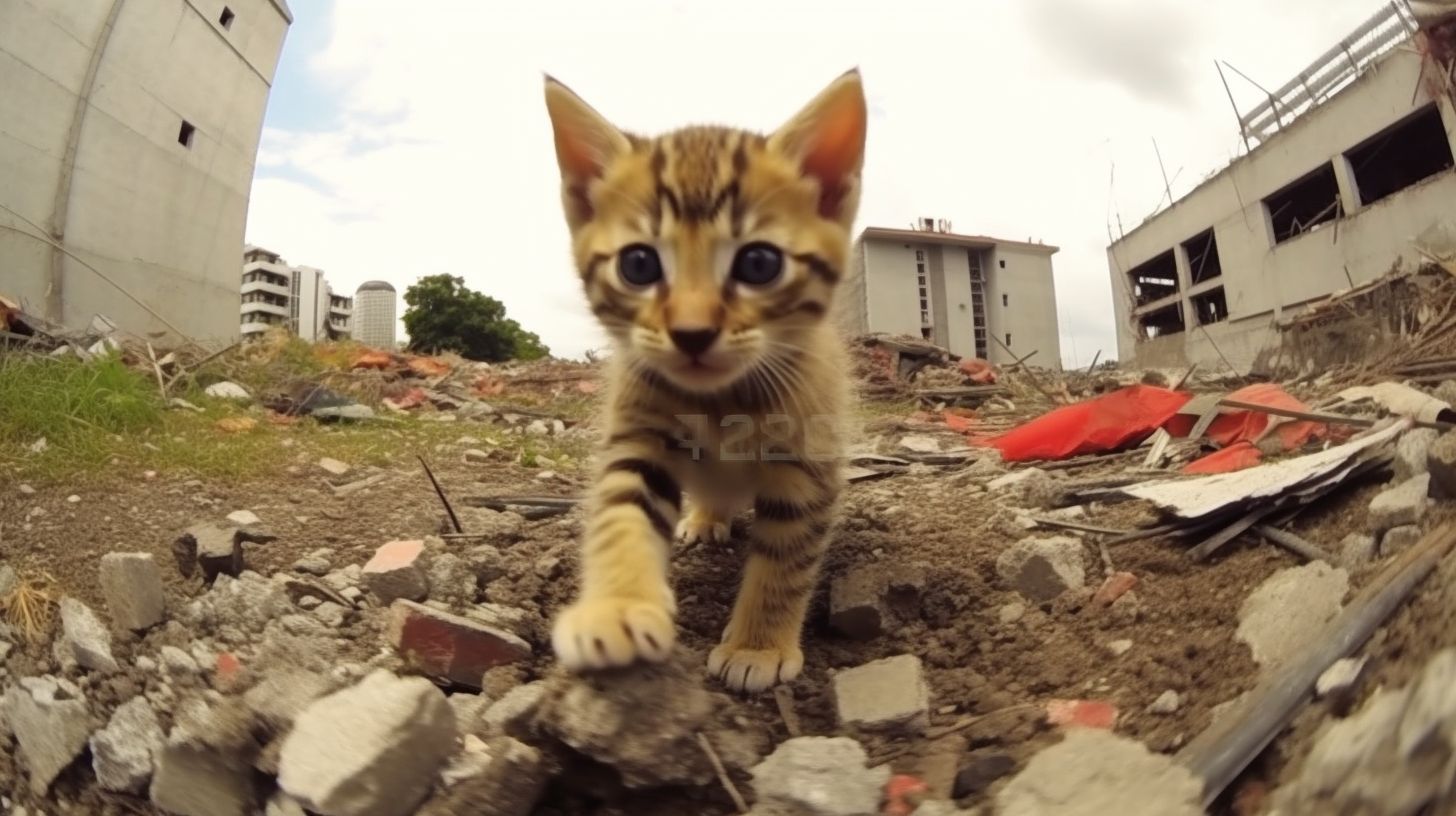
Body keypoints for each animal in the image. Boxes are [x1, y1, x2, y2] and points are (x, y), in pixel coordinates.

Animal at [544, 71, 861, 693]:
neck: (722, 400)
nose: (692, 333)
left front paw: (757, 646)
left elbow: (786, 559)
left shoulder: (806, 462)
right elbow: (621, 513)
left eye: (759, 263)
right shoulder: (639, 434)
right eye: (638, 265)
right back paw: (706, 517)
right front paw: (617, 608)